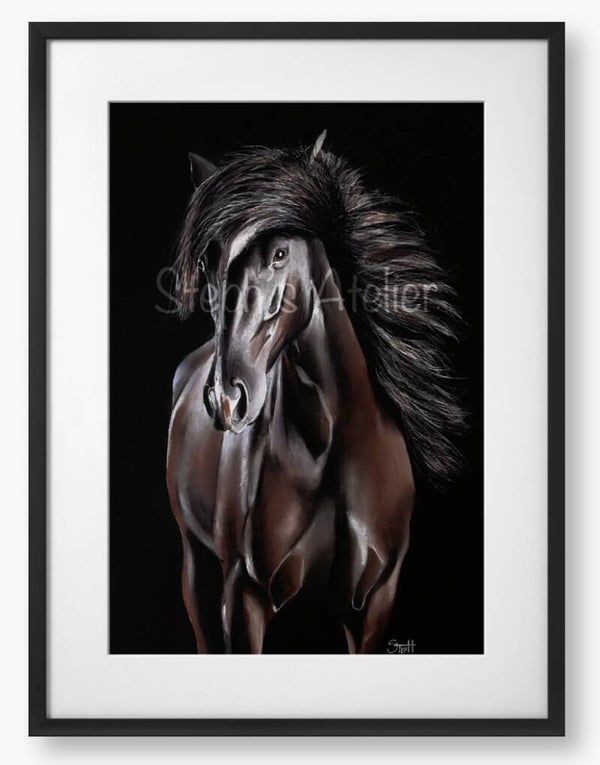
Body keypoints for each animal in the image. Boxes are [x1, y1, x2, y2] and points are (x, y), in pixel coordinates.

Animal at [167, 131, 463, 653]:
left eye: (280, 254)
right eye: (208, 259)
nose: (227, 399)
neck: (326, 445)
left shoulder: (374, 604)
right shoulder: (242, 599)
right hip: (197, 569)